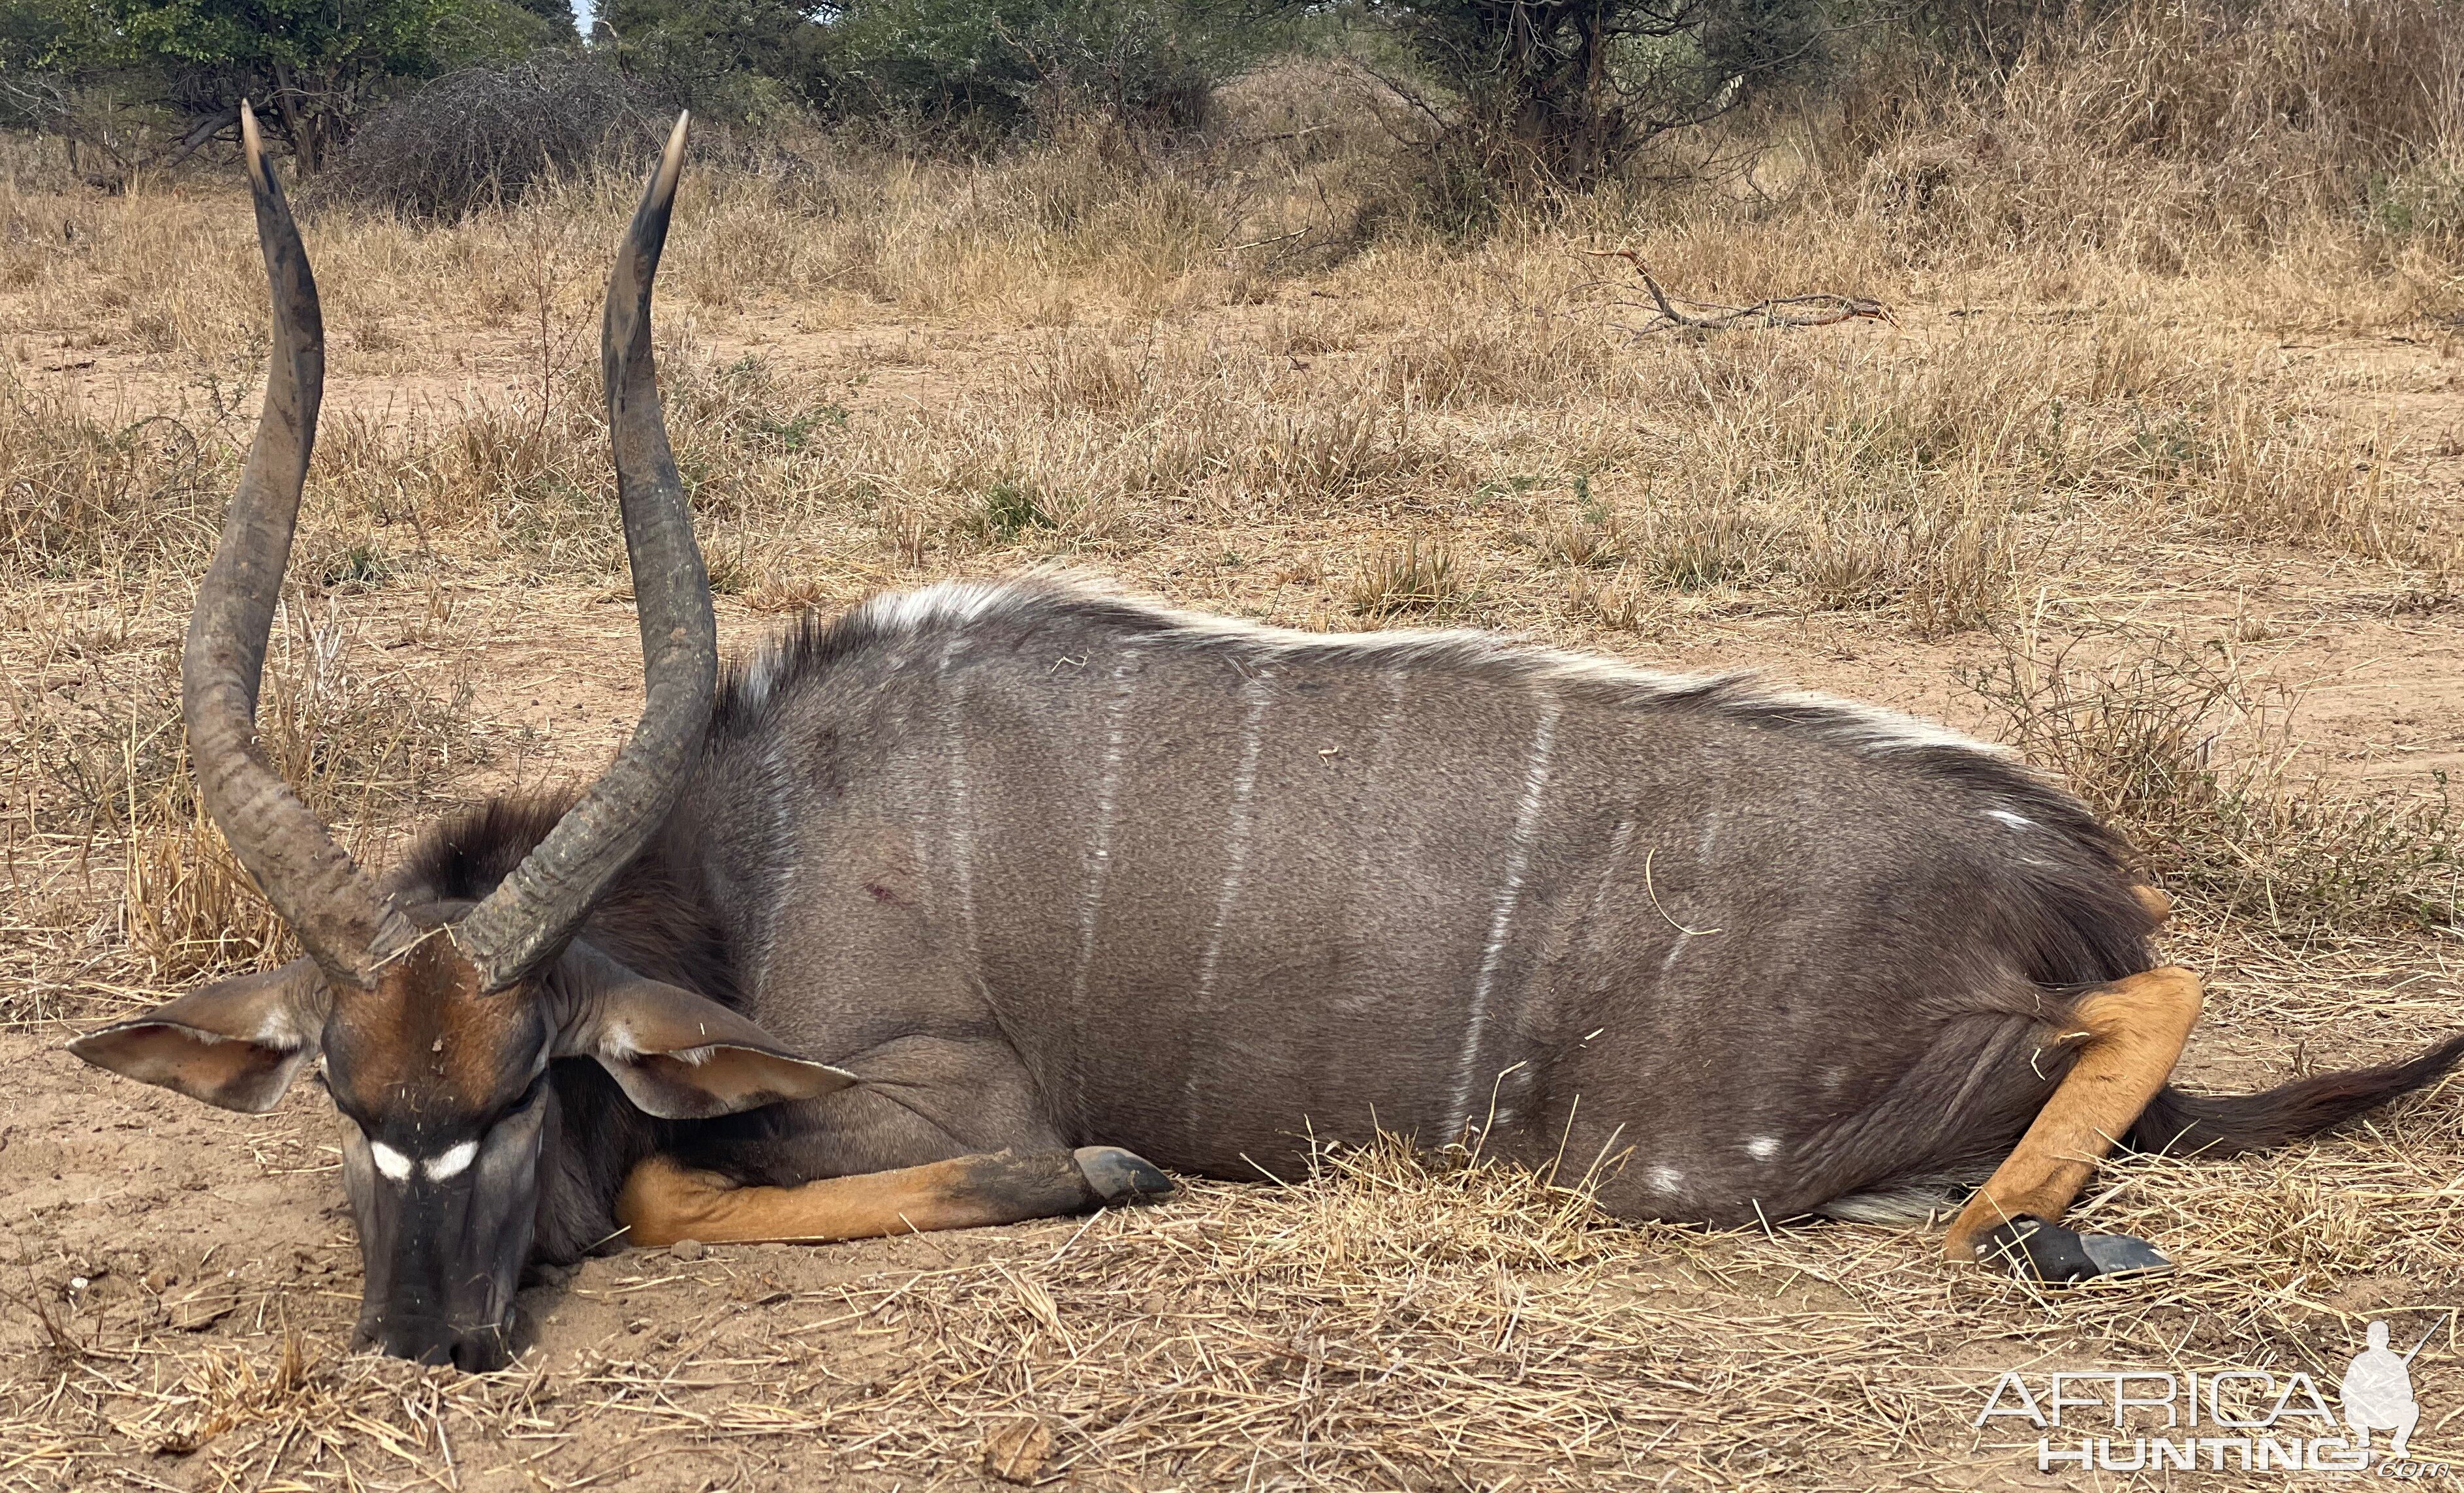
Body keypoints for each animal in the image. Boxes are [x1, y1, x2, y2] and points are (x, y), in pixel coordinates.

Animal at [72, 110, 2464, 1379]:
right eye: (346, 1096)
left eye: (525, 1081)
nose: (425, 1335)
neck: (755, 849)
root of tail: (2053, 869)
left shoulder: (940, 1100)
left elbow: (721, 1183)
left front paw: (1114, 1174)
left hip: (1698, 1151)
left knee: (2135, 1016)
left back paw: (2038, 1225)